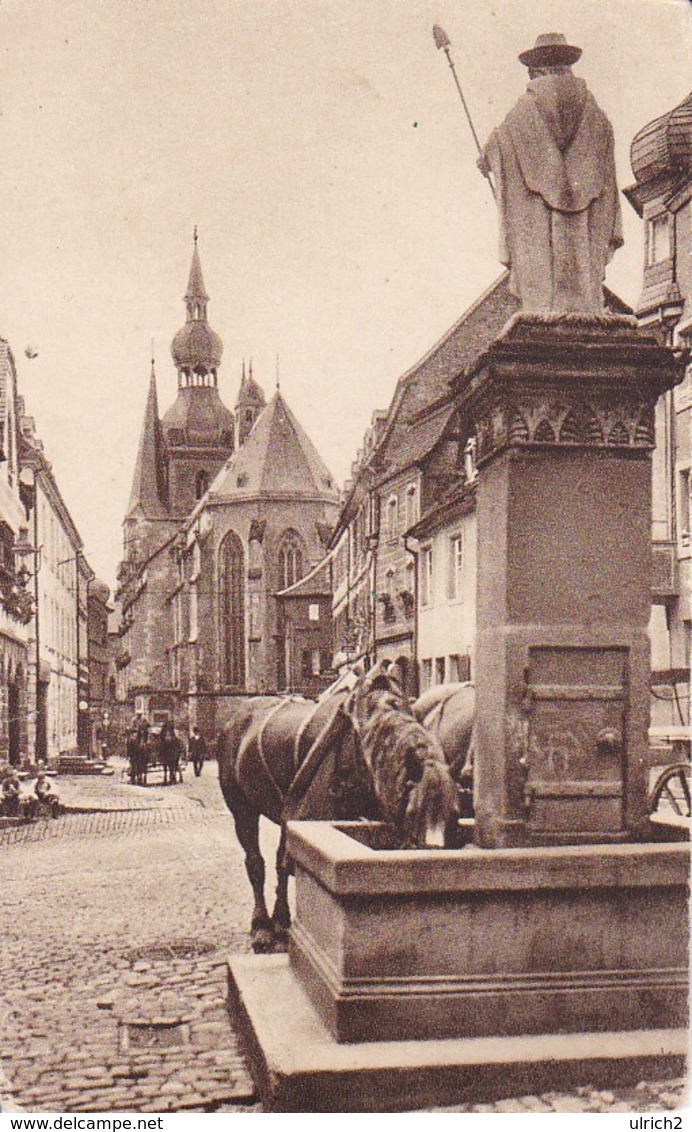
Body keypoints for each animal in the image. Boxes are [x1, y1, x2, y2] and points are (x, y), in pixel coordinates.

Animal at [217, 661, 459, 955]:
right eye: (413, 811)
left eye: (454, 813)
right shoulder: (310, 816)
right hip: (241, 808)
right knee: (256, 863)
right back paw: (262, 929)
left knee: (278, 862)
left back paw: (280, 924)